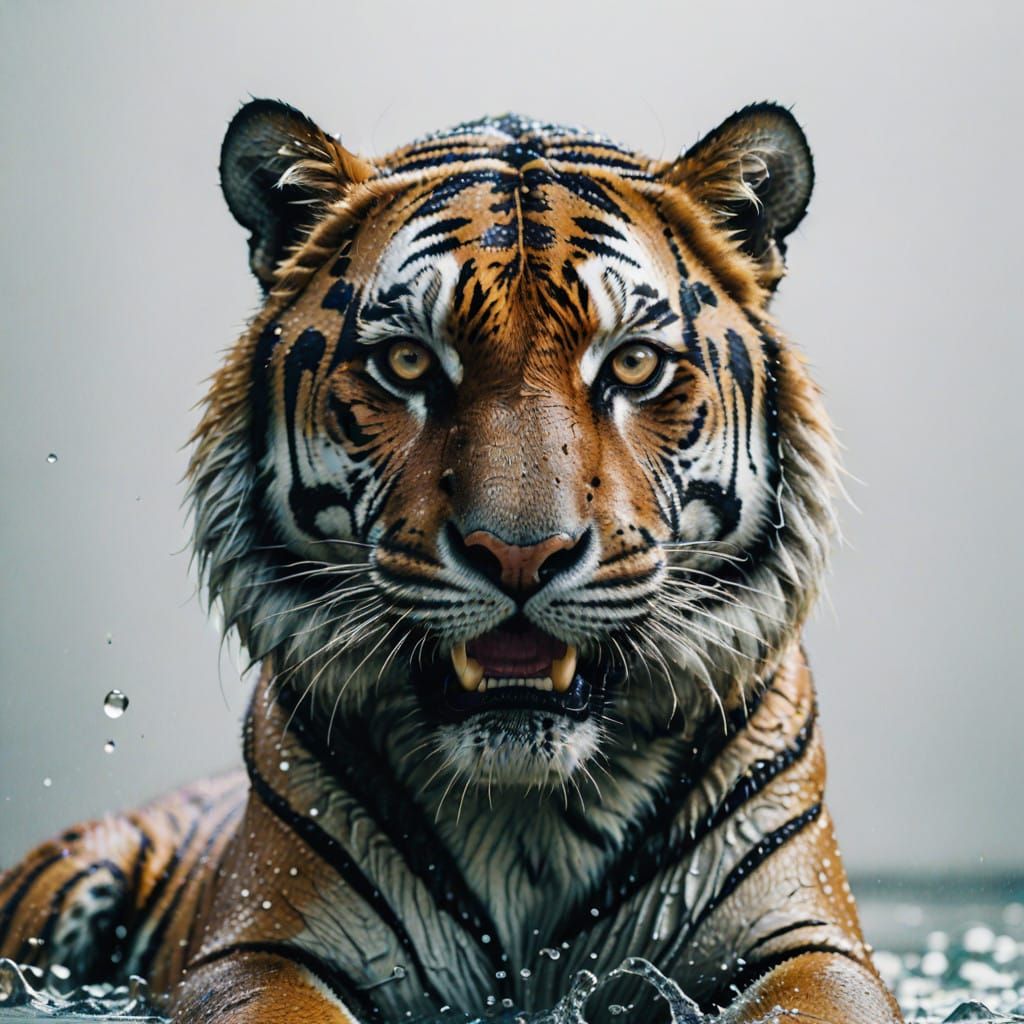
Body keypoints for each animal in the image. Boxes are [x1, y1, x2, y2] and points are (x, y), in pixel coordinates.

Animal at [0, 99, 903, 1023]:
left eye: (633, 362)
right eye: (407, 362)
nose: (520, 554)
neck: (527, 818)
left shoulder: (811, 946)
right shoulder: (258, 946)